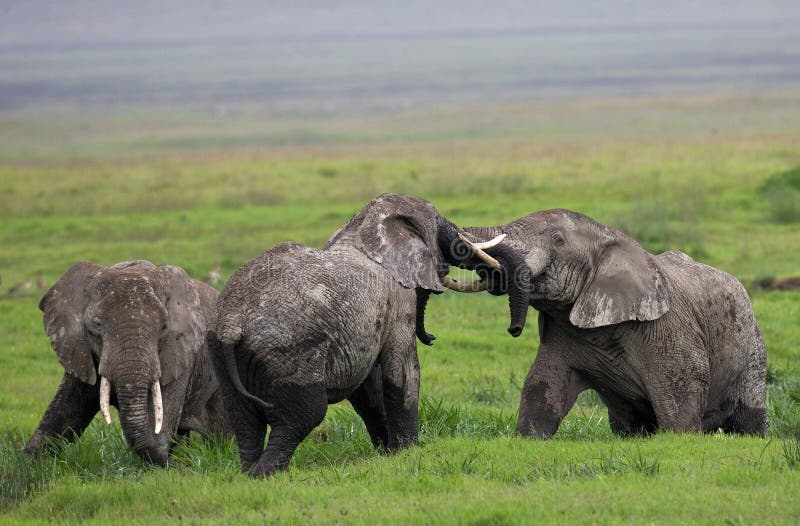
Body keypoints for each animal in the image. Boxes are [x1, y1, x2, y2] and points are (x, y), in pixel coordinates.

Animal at [25, 260, 230, 466]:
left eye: (163, 327)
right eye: (96, 325)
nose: (185, 466)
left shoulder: (180, 356)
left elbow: (159, 427)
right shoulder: (81, 354)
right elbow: (60, 414)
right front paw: (31, 463)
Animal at [209, 194, 528, 478]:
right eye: (438, 220)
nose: (514, 330)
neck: (363, 226)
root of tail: (232, 320)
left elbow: (369, 390)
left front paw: (388, 454)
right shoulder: (399, 301)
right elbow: (403, 374)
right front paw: (409, 453)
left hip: (225, 358)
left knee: (243, 421)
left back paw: (248, 474)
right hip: (291, 351)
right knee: (304, 414)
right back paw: (265, 476)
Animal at [468, 210, 768, 442]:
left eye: (558, 240)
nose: (514, 330)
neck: (611, 238)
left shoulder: (668, 328)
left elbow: (681, 396)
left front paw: (681, 440)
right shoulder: (562, 332)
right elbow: (541, 385)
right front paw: (528, 437)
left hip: (752, 349)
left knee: (749, 415)